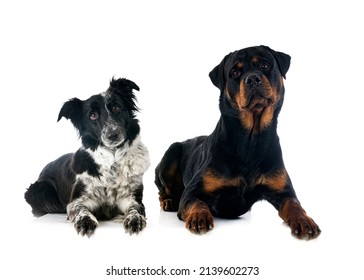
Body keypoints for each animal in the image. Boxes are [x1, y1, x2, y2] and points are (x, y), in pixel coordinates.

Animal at [24, 77, 149, 236]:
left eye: (116, 107)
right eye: (93, 115)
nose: (112, 134)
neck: (112, 160)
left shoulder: (132, 198)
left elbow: (135, 209)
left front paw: (135, 219)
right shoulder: (76, 201)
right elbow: (80, 209)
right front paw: (85, 221)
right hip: (39, 190)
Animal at [155, 45, 320, 238]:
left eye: (265, 65)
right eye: (234, 73)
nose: (253, 79)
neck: (251, 140)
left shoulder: (284, 192)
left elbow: (294, 205)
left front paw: (304, 220)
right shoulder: (192, 192)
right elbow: (197, 202)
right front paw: (199, 217)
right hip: (171, 153)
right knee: (162, 189)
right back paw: (169, 201)